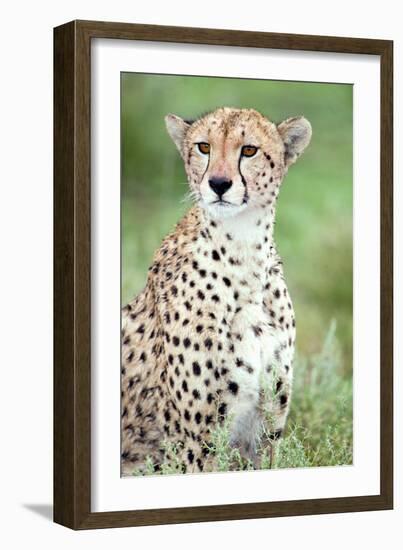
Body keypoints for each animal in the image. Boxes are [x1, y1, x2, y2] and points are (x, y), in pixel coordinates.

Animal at [121, 109, 314, 478]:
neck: (243, 252)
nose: (219, 184)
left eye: (249, 150)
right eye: (204, 147)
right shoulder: (198, 442)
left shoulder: (265, 428)